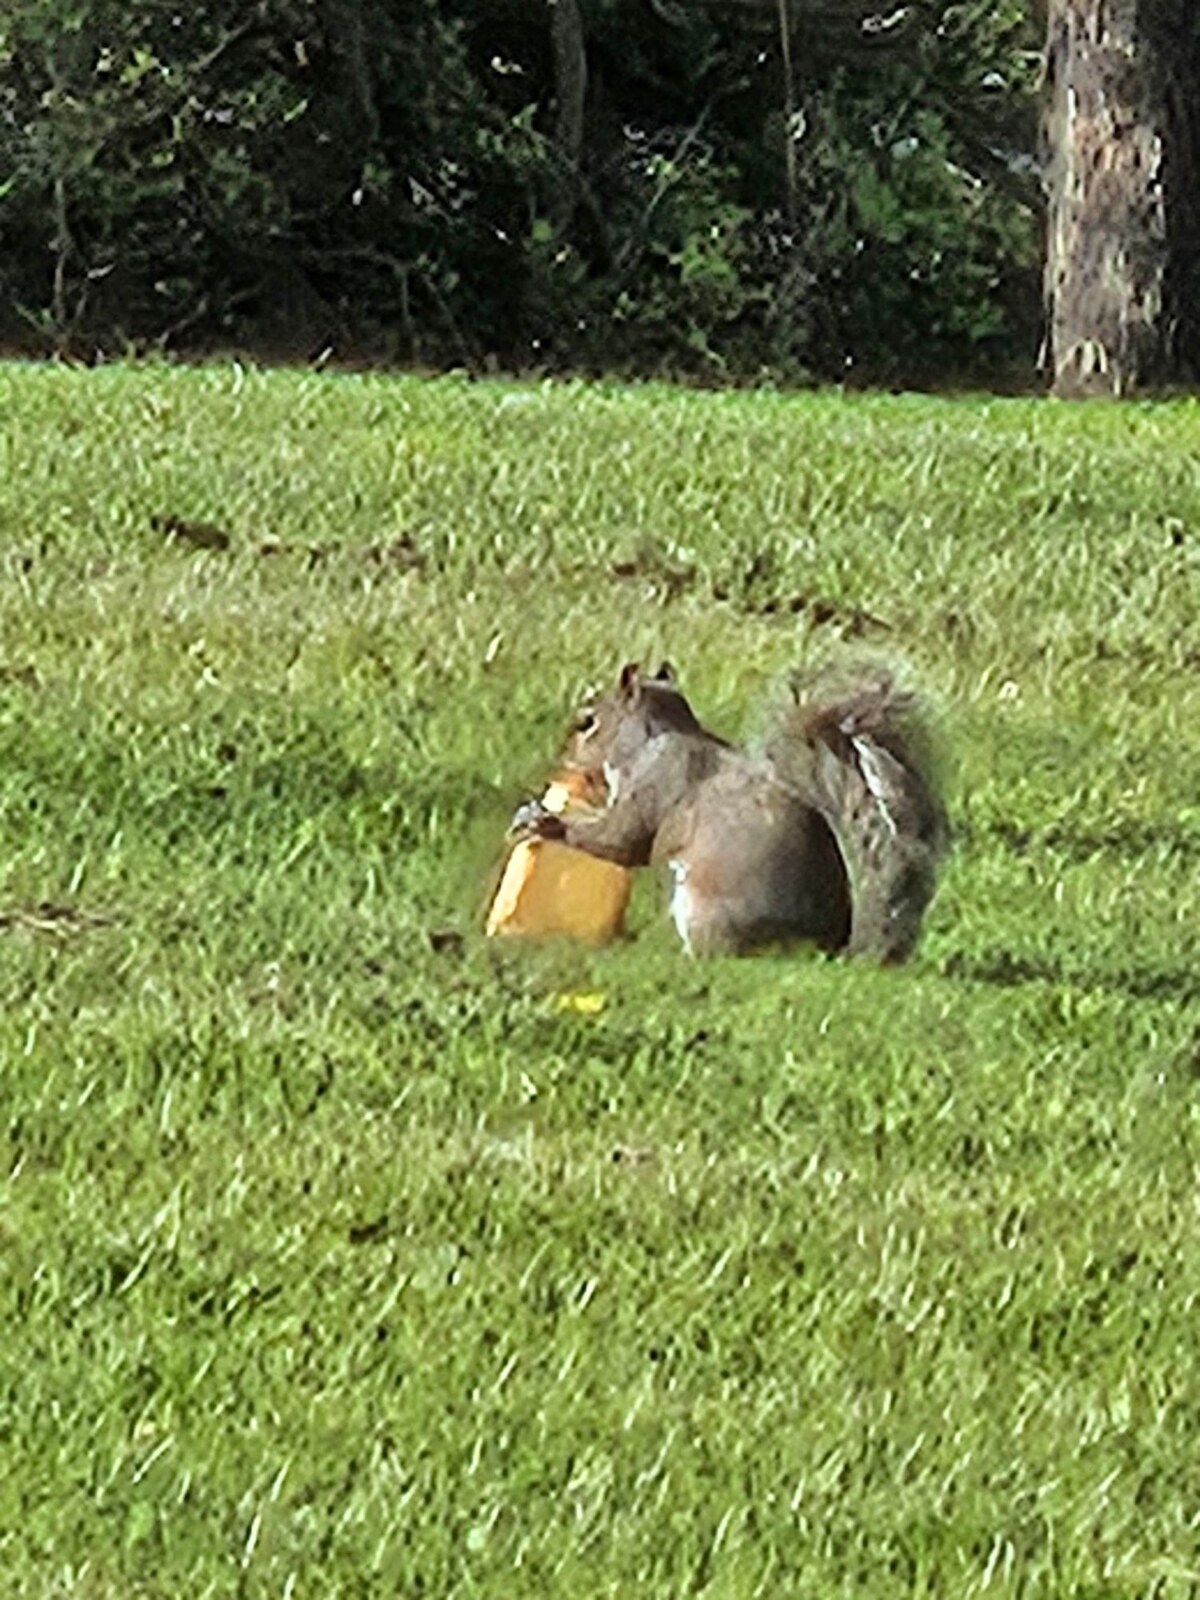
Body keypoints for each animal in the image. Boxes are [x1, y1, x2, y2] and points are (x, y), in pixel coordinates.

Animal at [512, 656, 953, 953]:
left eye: (587, 722)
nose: (561, 759)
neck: (650, 740)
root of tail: (822, 945)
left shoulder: (658, 784)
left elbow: (621, 838)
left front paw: (548, 822)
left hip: (702, 909)